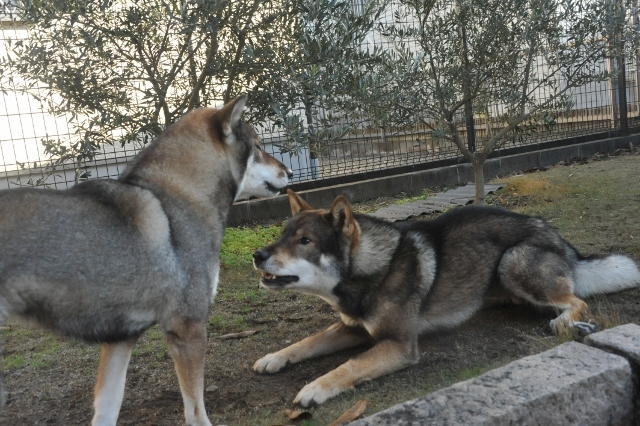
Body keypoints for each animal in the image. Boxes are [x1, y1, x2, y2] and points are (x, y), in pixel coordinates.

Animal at [0, 96, 292, 426]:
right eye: (258, 146)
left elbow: (108, 406)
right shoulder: (187, 329)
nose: (289, 172)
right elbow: (196, 411)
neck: (181, 195)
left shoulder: (121, 339)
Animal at [252, 190, 640, 406]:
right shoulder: (353, 328)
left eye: (304, 241)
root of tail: (562, 241)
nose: (256, 254)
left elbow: (349, 365)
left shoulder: (399, 345)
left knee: (578, 302)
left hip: (512, 261)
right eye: (282, 235)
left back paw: (564, 322)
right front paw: (274, 358)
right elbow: (308, 341)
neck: (372, 268)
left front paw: (315, 387)